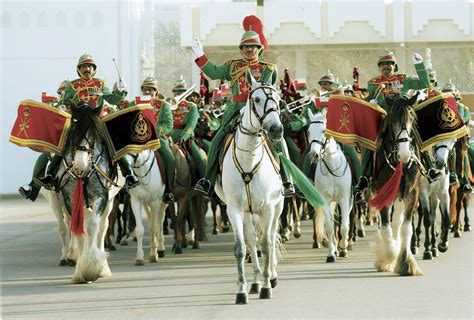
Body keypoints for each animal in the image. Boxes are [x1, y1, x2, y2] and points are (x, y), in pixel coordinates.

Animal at [55, 100, 124, 282]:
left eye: (93, 131)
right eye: (74, 124)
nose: (80, 163)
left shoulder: (101, 197)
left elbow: (93, 227)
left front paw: (92, 268)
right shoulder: (70, 200)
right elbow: (78, 230)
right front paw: (79, 272)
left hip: (109, 203)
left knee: (102, 228)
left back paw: (103, 267)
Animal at [215, 75, 286, 304]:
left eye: (279, 99)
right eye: (256, 99)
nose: (276, 129)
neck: (249, 158)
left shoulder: (267, 208)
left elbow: (266, 244)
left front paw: (266, 287)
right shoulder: (234, 209)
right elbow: (241, 248)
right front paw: (242, 290)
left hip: (277, 207)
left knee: (270, 237)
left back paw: (271, 276)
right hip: (247, 212)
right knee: (251, 238)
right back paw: (255, 282)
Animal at [370, 94, 422, 276]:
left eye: (412, 119)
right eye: (391, 120)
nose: (405, 155)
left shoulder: (411, 194)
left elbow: (406, 228)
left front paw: (406, 262)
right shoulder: (382, 195)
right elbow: (385, 229)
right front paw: (388, 258)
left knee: (397, 223)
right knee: (384, 225)